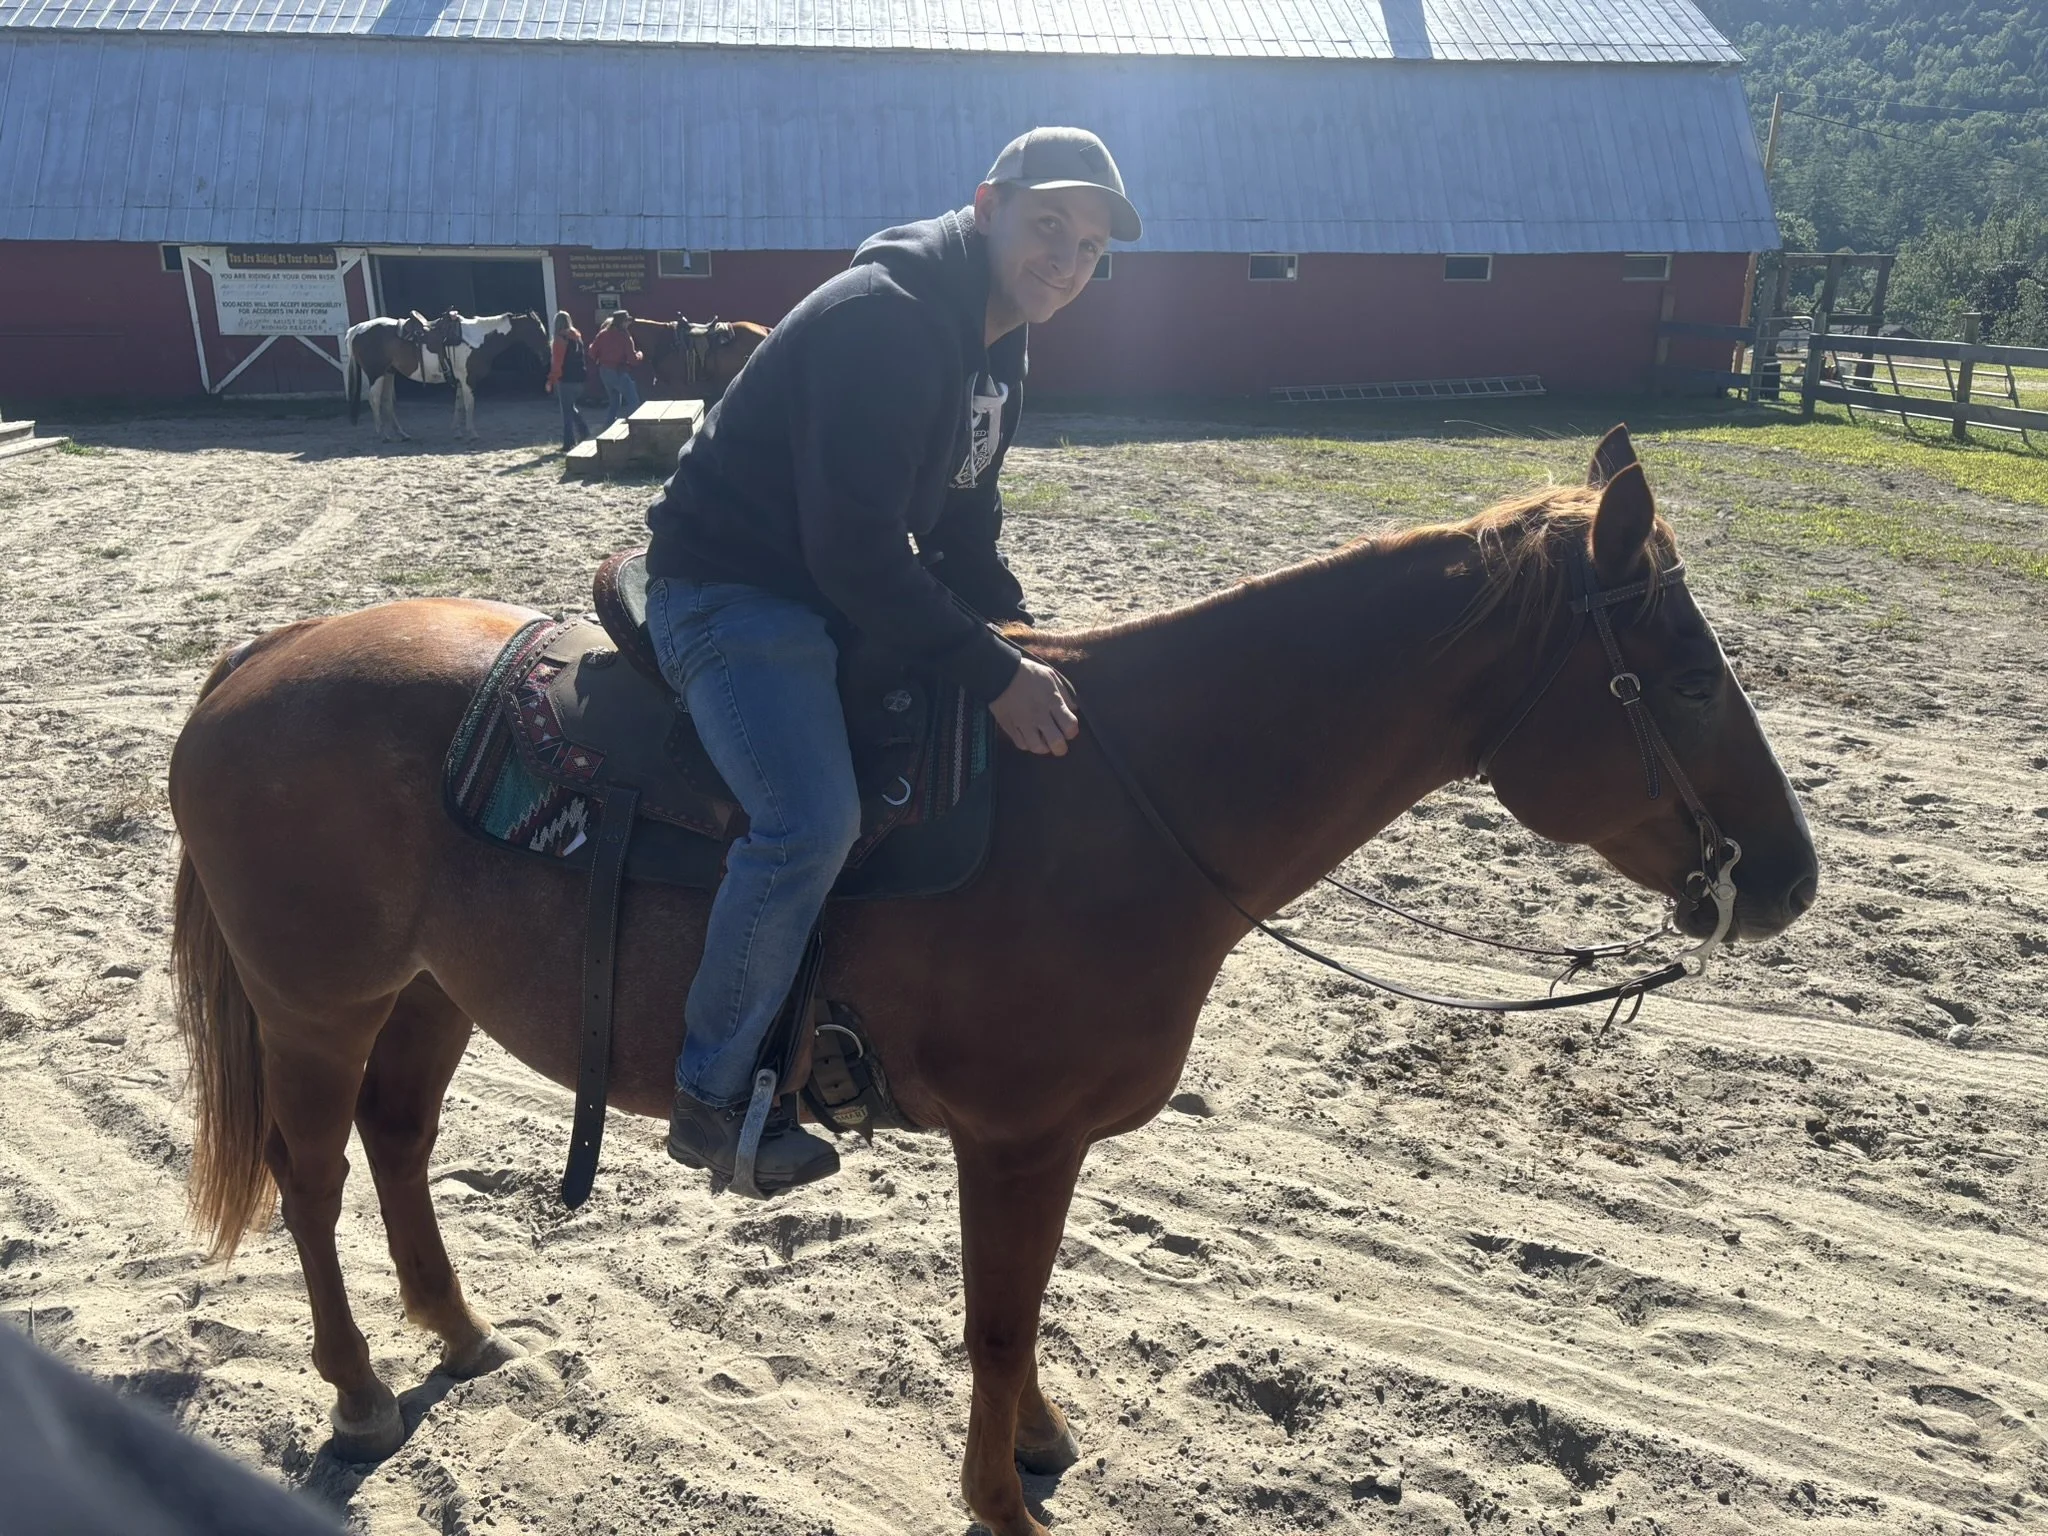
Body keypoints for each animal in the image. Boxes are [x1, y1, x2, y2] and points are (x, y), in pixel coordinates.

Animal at [166, 429, 1815, 1536]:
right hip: (316, 1002)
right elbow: (1000, 1316)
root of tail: (264, 651)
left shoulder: (1051, 1143)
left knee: (397, 1141)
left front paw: (1035, 1444)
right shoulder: (1013, 1140)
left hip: (426, 992)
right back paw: (359, 1386)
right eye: (1680, 677)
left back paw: (454, 1330)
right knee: (312, 1171)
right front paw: (1000, 1492)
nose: (1791, 878)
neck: (1133, 798)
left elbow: (1027, 1307)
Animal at [344, 311, 551, 443]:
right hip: (376, 373)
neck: (477, 339)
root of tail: (357, 328)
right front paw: (472, 434)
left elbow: (459, 405)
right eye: (537, 330)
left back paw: (402, 434)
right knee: (374, 400)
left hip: (388, 373)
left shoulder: (460, 380)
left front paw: (457, 432)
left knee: (387, 402)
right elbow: (469, 405)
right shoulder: (468, 380)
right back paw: (383, 435)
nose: (547, 354)